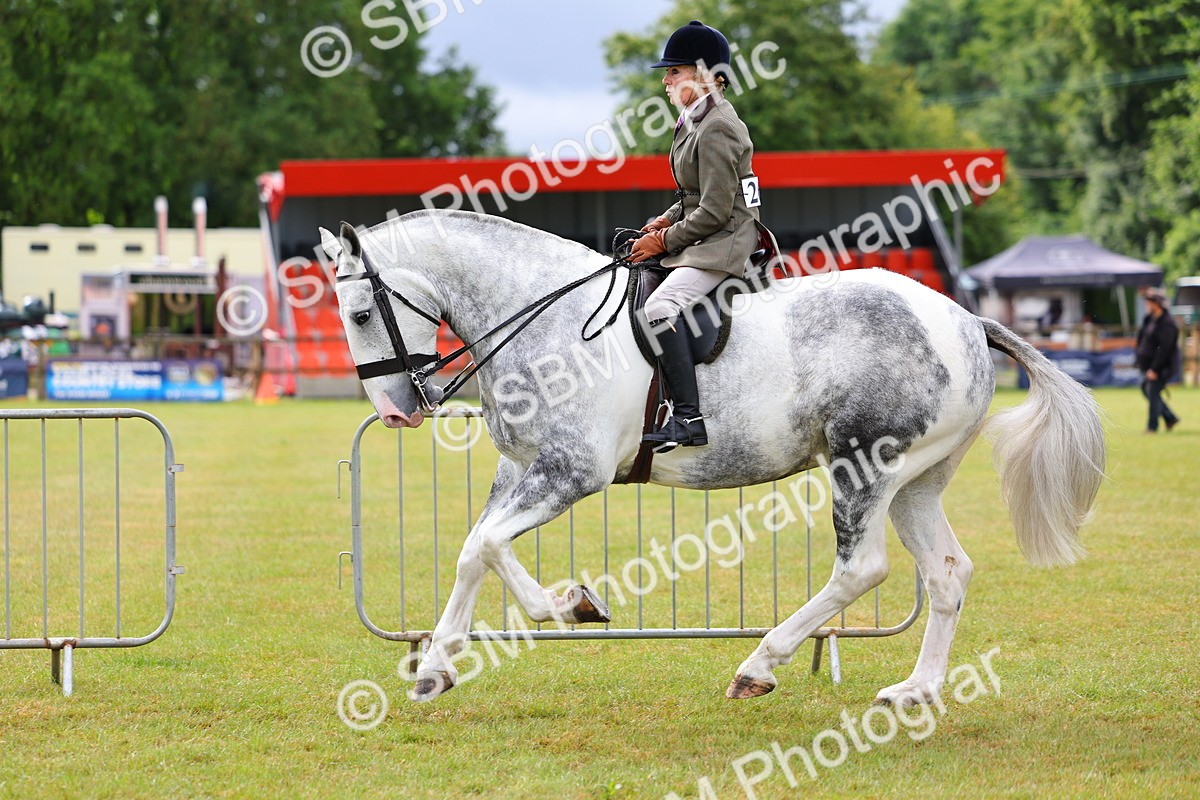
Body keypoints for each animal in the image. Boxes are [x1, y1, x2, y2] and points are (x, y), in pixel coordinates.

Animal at [319, 209, 1105, 705]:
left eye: (359, 313)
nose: (396, 411)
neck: (544, 319)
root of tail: (965, 319)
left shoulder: (571, 473)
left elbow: (483, 546)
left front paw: (563, 606)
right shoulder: (522, 471)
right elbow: (476, 550)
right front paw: (444, 665)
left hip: (863, 467)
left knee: (862, 569)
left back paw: (759, 666)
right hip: (915, 483)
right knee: (946, 573)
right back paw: (916, 690)